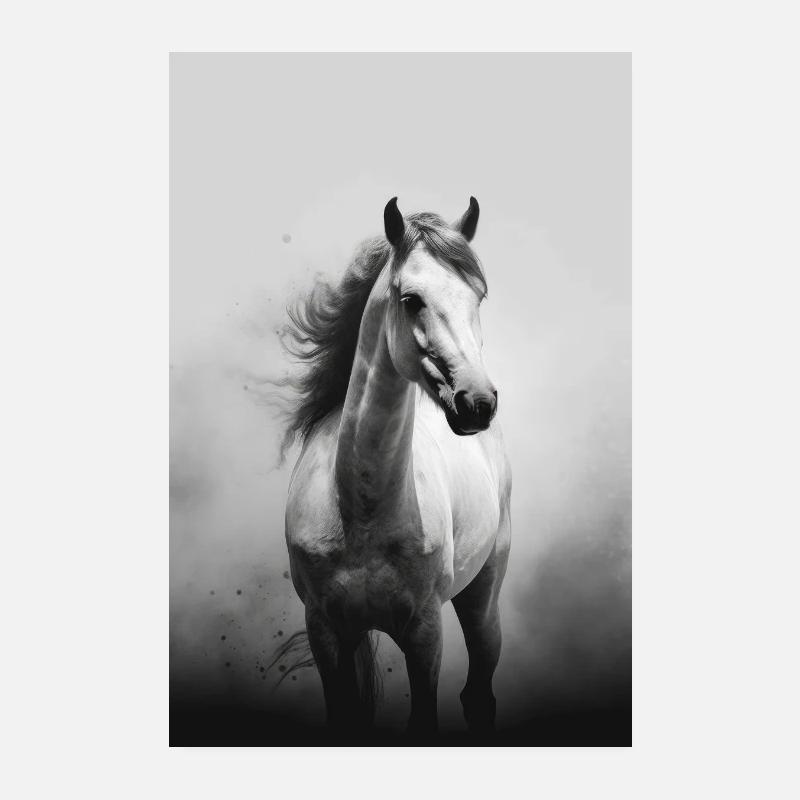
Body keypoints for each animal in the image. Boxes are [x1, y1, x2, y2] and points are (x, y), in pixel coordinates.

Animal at [280, 197, 511, 739]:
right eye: (411, 300)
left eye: (478, 297)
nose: (478, 402)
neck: (361, 509)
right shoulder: (325, 631)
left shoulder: (425, 633)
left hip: (482, 598)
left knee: (479, 694)